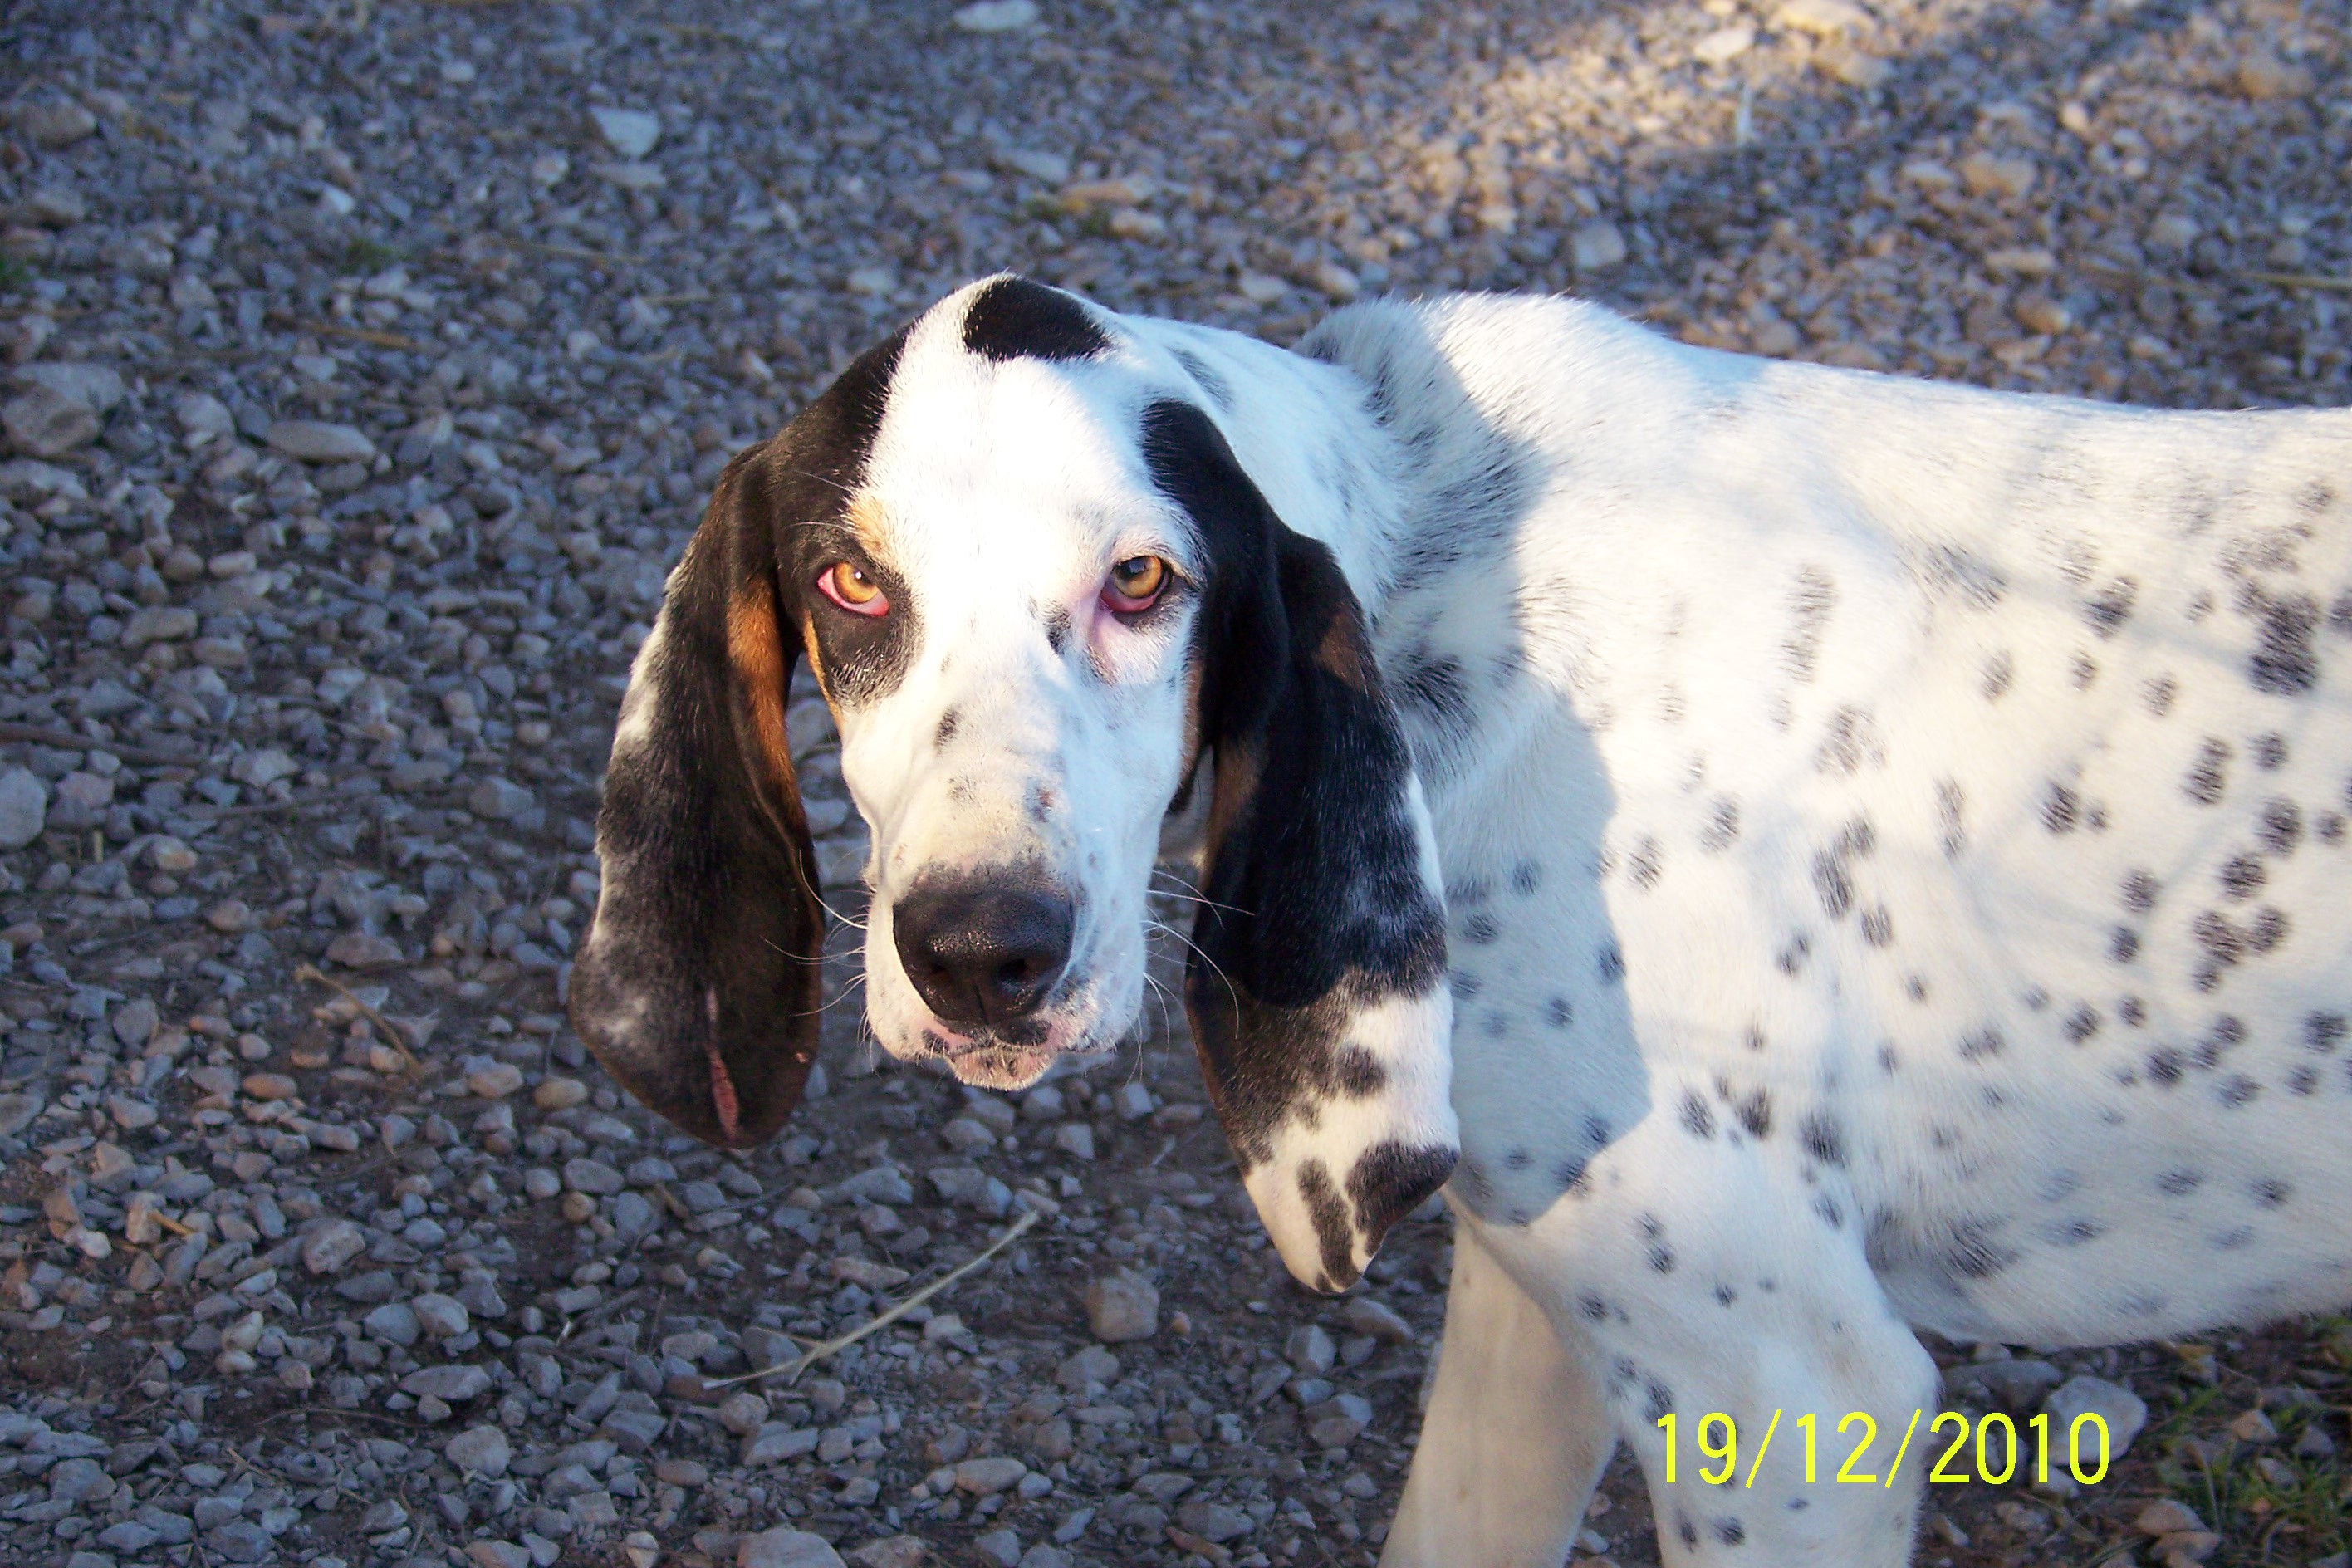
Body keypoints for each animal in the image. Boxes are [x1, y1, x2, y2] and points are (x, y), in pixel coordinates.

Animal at [569, 276, 2352, 1561]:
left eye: (1144, 580)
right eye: (851, 585)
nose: (979, 951)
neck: (1445, 583)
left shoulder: (1791, 1401)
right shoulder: (1543, 1307)